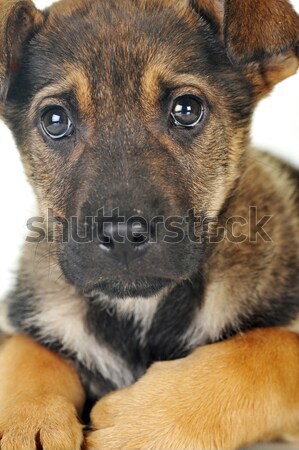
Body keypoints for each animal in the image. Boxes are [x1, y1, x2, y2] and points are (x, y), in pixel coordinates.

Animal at [0, 0, 299, 448]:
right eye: (55, 120)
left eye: (187, 110)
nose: (123, 236)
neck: (142, 311)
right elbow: (25, 350)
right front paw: (24, 420)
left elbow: (269, 350)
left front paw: (139, 423)